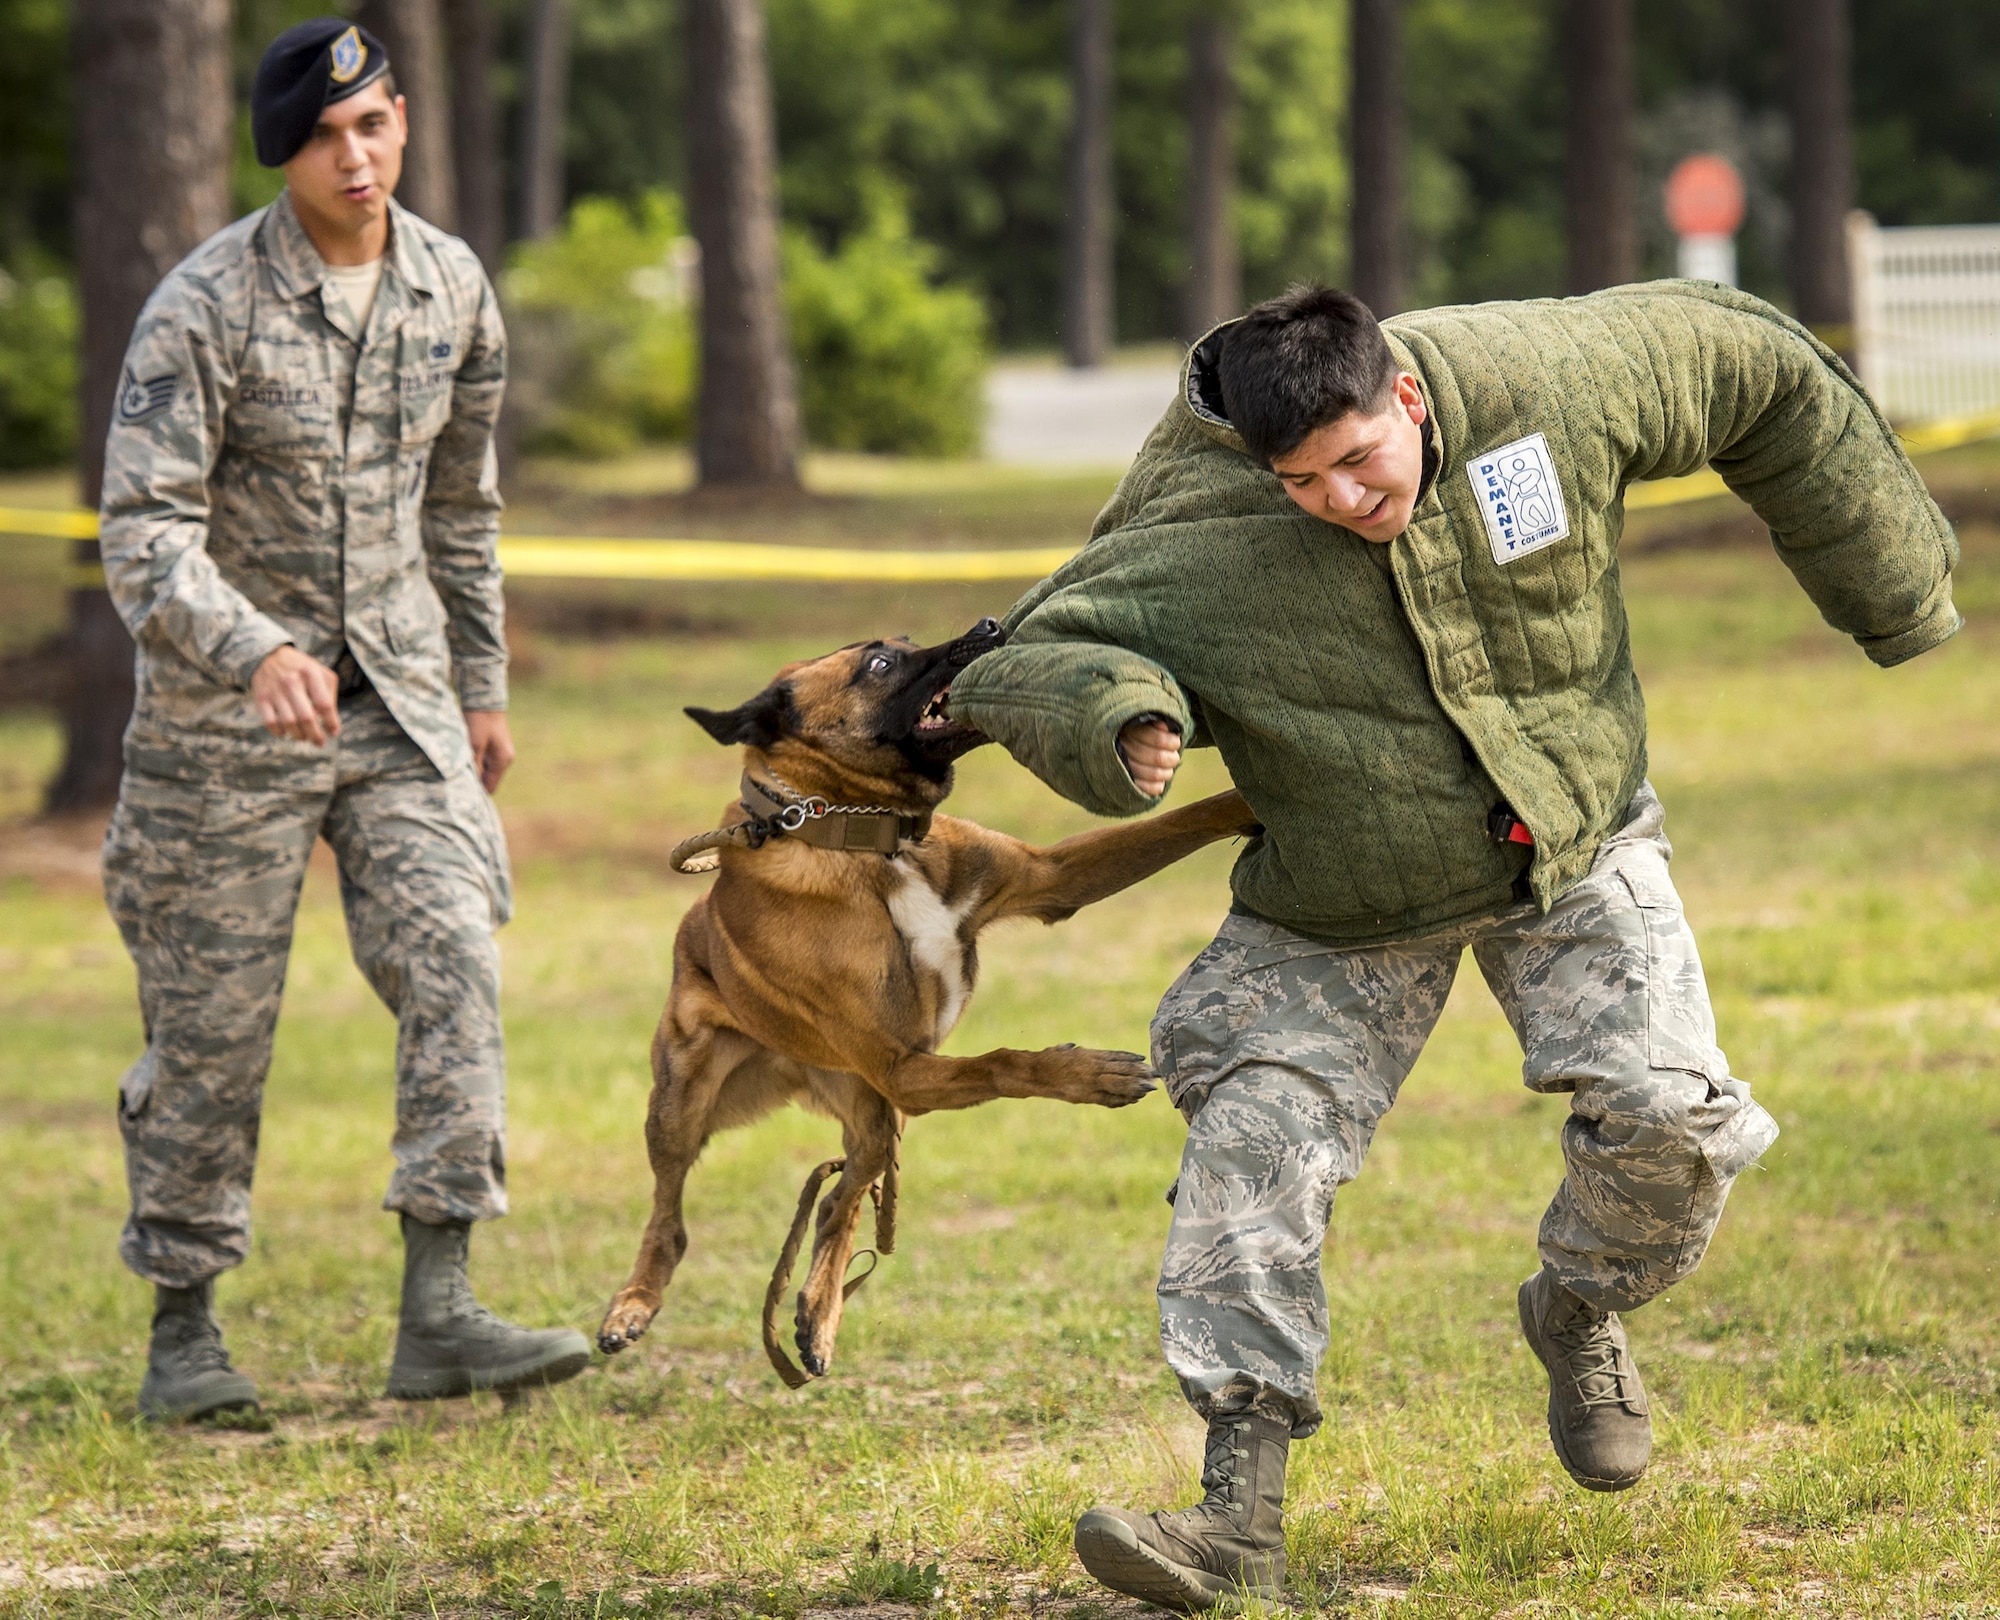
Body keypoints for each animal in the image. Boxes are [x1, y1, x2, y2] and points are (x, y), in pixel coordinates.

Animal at [592, 616, 1256, 1376]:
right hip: (685, 1100)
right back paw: (634, 1305)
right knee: (671, 1214)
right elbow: (1003, 1061)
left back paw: (818, 1311)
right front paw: (1087, 1073)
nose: (989, 626)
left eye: (905, 639)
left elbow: (1181, 821)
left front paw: (1256, 804)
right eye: (879, 664)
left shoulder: (1051, 880)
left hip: (868, 1108)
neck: (870, 840)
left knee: (841, 1196)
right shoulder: (905, 1066)